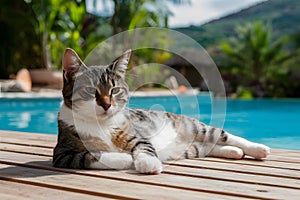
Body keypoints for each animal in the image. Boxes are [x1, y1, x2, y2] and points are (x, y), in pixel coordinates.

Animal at [52, 48, 270, 173]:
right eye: (90, 91)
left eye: (114, 90)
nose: (106, 105)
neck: (102, 124)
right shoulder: (63, 154)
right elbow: (93, 155)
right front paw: (126, 158)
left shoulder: (136, 135)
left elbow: (143, 145)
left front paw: (148, 163)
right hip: (190, 149)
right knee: (209, 146)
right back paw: (234, 152)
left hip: (196, 128)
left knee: (224, 135)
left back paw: (257, 148)